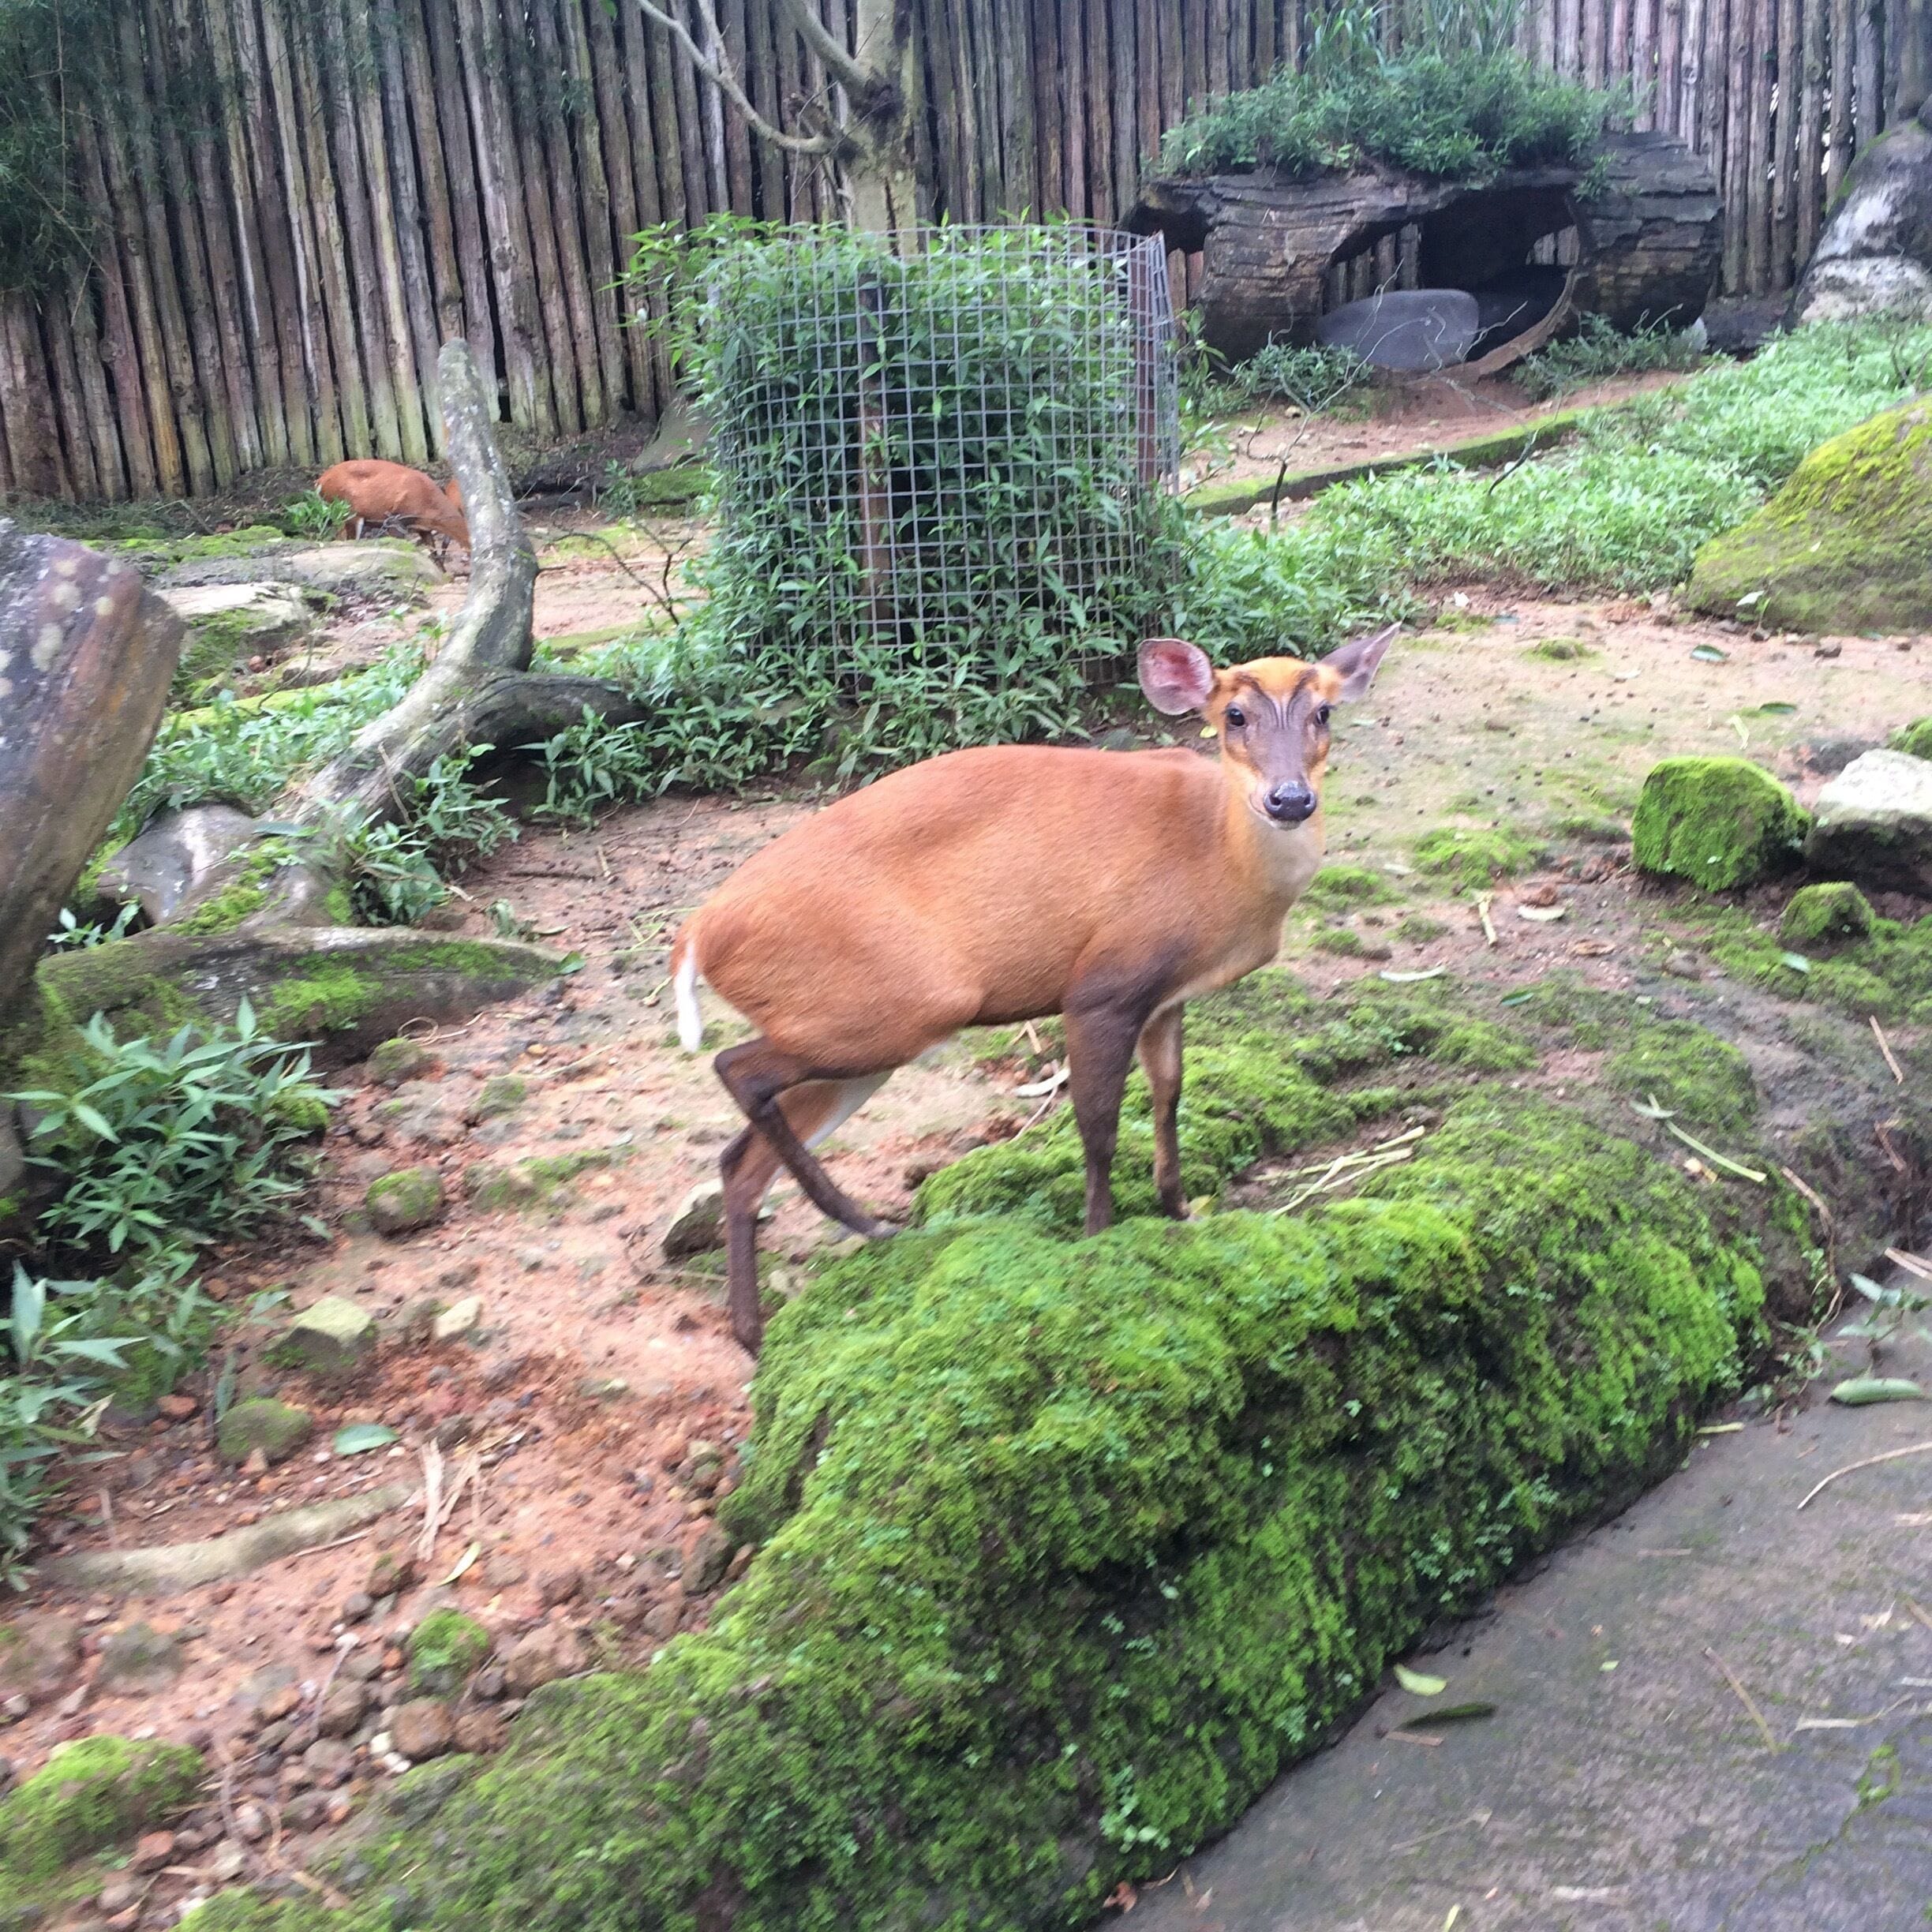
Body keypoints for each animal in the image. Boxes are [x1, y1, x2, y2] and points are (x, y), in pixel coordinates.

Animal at [670, 624, 1398, 1354]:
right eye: (1235, 716)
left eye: (1324, 712)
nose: (1290, 799)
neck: (1219, 859)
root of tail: (698, 932)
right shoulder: (1103, 985)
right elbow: (1099, 1124)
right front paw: (1099, 1239)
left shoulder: (1167, 996)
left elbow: (1169, 1095)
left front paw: (1180, 1209)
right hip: (901, 1006)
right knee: (735, 1067)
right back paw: (868, 1224)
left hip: (853, 1030)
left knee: (740, 1161)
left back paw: (755, 1331)